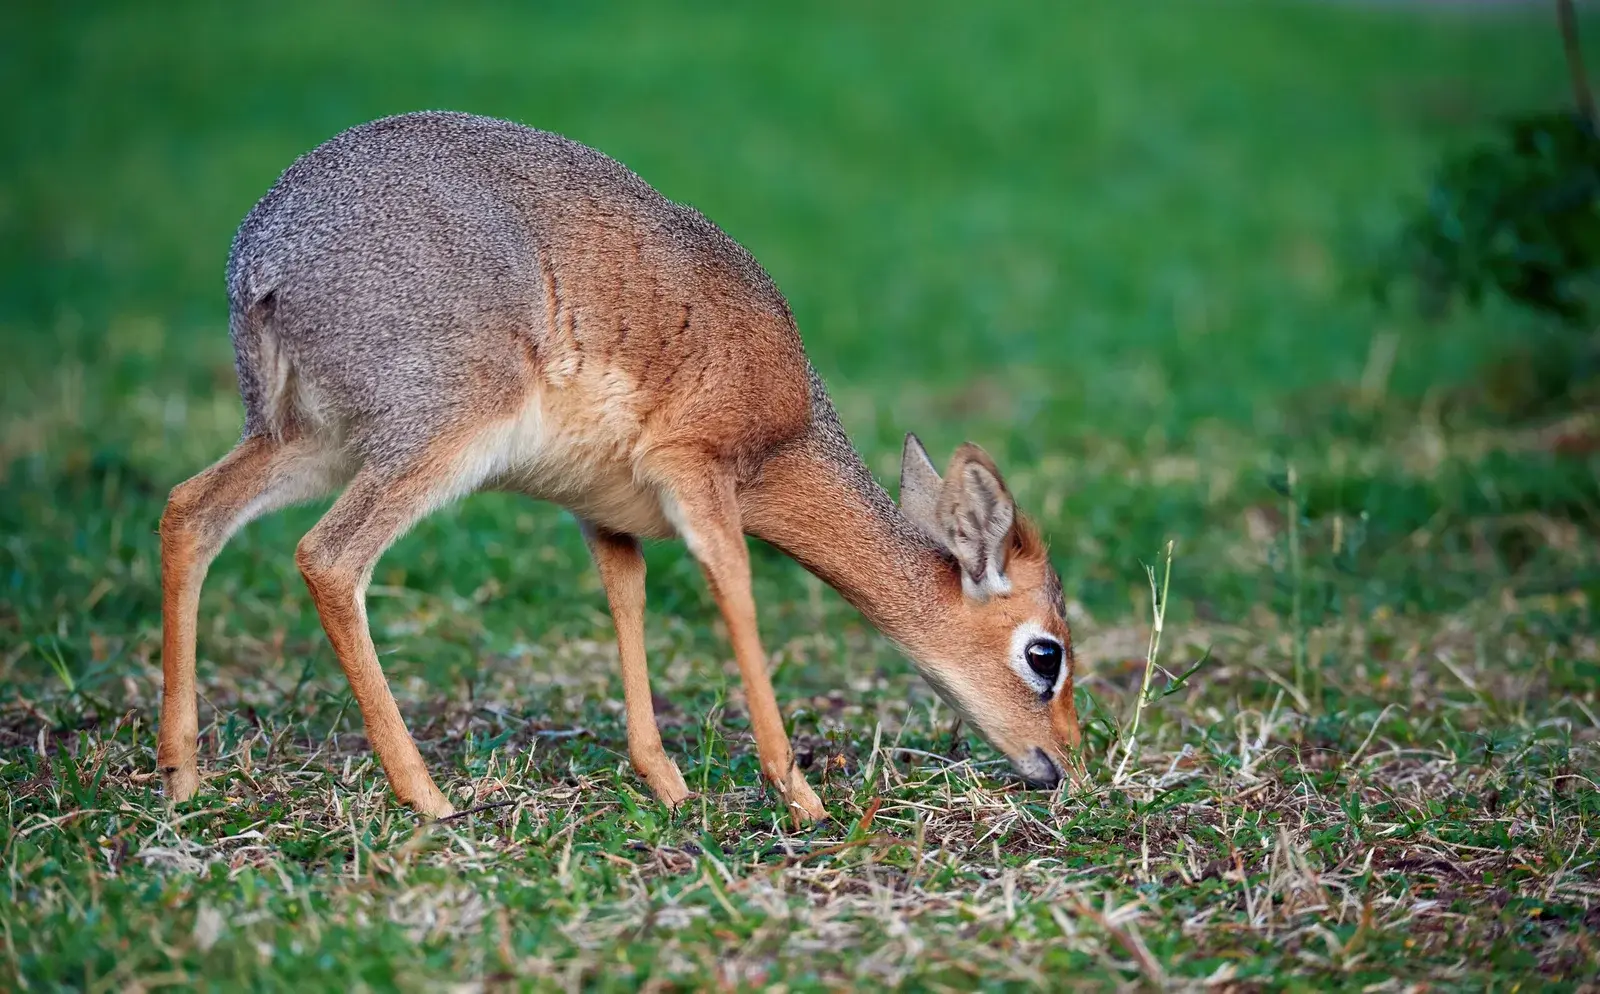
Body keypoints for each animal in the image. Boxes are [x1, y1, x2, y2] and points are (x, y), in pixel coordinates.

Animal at [157, 111, 1081, 823]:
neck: (788, 424)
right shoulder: (699, 474)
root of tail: (264, 255)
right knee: (328, 556)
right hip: (433, 442)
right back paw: (429, 797)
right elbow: (736, 590)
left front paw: (667, 785)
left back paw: (181, 774)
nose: (1064, 762)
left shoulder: (604, 516)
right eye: (1047, 653)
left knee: (189, 508)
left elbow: (626, 604)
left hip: (306, 441)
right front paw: (801, 797)